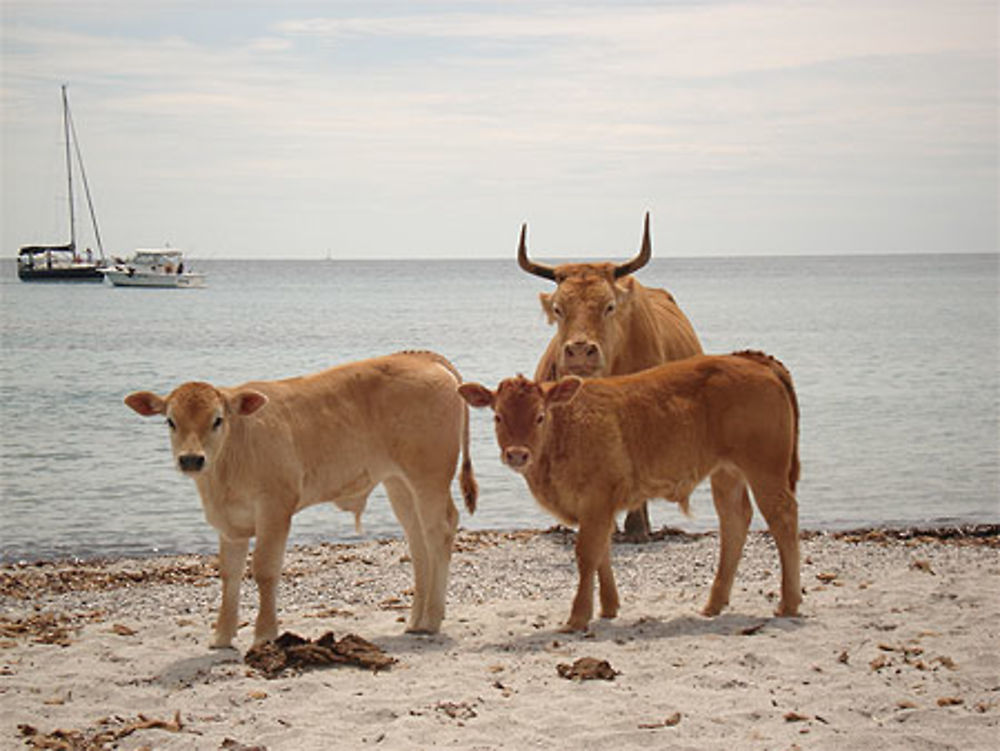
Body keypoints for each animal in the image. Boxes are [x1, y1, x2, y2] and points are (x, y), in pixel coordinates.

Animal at [124, 350, 476, 648]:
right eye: (171, 421)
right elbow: (229, 574)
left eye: (217, 420)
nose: (191, 459)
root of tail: (420, 357)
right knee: (418, 541)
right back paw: (416, 620)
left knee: (441, 530)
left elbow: (265, 570)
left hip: (429, 476)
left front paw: (265, 634)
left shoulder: (275, 508)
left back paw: (432, 619)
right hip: (399, 483)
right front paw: (221, 637)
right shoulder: (229, 524)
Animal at [462, 350, 804, 632]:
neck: (567, 430)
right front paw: (608, 608)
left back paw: (788, 603)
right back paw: (714, 604)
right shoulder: (596, 508)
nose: (517, 454)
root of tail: (754, 361)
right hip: (726, 474)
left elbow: (587, 554)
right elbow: (602, 552)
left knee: (783, 517)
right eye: (498, 416)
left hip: (765, 469)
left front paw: (577, 617)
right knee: (734, 521)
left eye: (539, 416)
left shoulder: (597, 500)